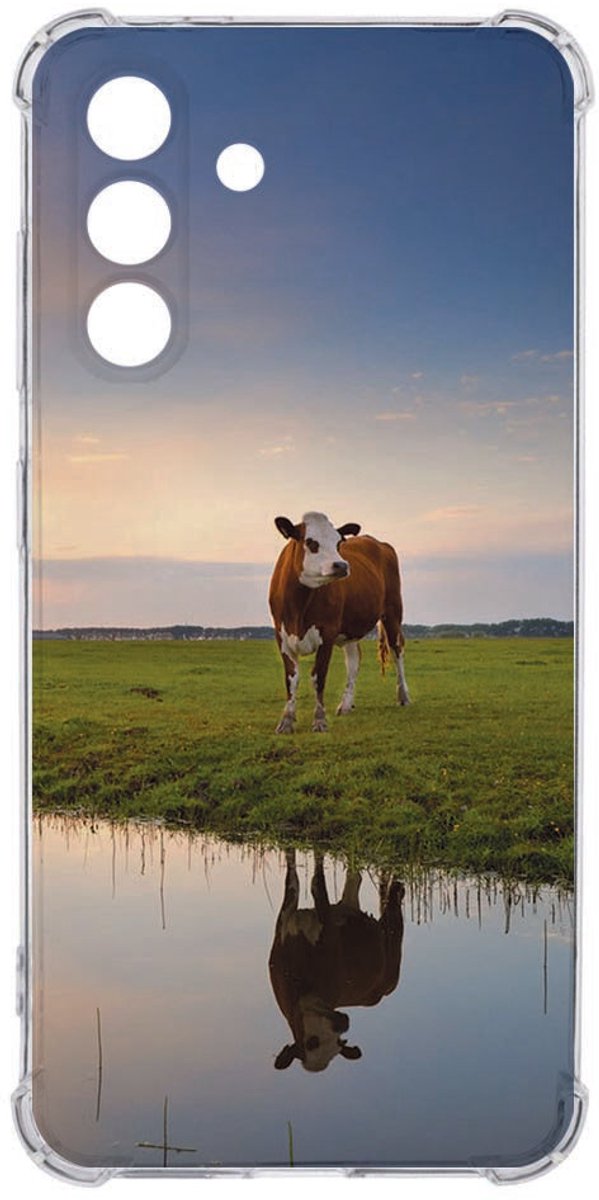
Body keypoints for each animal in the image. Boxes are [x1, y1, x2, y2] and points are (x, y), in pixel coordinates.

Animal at [268, 511, 410, 733]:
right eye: (311, 542)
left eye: (338, 543)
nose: (342, 565)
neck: (299, 605)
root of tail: (378, 542)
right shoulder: (281, 636)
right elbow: (291, 679)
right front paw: (286, 721)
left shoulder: (327, 633)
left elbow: (319, 677)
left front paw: (319, 720)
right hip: (350, 629)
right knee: (354, 660)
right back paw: (345, 704)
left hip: (393, 612)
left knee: (397, 651)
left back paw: (403, 695)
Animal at [268, 850, 404, 1073]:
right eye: (312, 1042)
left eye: (338, 1043)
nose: (343, 1023)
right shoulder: (284, 921)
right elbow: (292, 877)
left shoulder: (329, 933)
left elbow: (317, 884)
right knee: (355, 877)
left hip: (393, 950)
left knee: (393, 913)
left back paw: (398, 888)